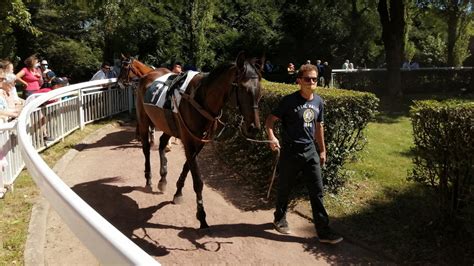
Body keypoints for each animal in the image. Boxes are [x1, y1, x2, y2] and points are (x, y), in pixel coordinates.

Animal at [116, 53, 262, 229]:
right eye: (243, 89)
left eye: (259, 90)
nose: (254, 127)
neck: (199, 101)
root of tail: (147, 76)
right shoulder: (188, 141)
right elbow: (198, 180)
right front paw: (202, 215)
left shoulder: (199, 143)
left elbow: (187, 167)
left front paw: (178, 192)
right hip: (144, 120)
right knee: (146, 149)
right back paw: (149, 179)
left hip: (167, 124)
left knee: (162, 144)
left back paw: (163, 179)